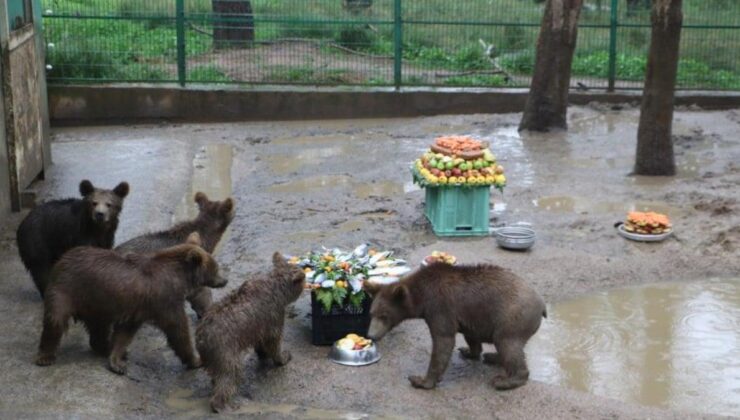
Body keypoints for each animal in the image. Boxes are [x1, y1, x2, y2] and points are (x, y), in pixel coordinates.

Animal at [35, 231, 225, 376]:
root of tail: (63, 258)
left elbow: (125, 333)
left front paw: (117, 360)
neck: (179, 279)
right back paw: (45, 356)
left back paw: (104, 346)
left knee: (98, 327)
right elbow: (178, 330)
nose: (225, 280)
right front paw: (196, 359)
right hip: (67, 290)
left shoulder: (138, 308)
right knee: (55, 320)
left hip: (95, 303)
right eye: (216, 268)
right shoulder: (165, 299)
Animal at [195, 253, 304, 414]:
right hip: (225, 350)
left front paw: (263, 354)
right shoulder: (274, 315)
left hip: (212, 356)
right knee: (230, 374)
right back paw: (222, 405)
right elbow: (274, 341)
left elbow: (261, 341)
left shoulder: (259, 325)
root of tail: (201, 337)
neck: (277, 288)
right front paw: (283, 357)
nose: (305, 279)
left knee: (218, 375)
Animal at [362, 262, 548, 390]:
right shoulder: (469, 316)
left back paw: (505, 380)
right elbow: (470, 335)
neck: (421, 297)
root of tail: (541, 304)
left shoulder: (439, 307)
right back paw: (493, 357)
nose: (371, 335)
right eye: (371, 313)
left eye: (384, 316)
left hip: (512, 318)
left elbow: (443, 341)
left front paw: (421, 380)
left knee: (508, 344)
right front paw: (468, 351)